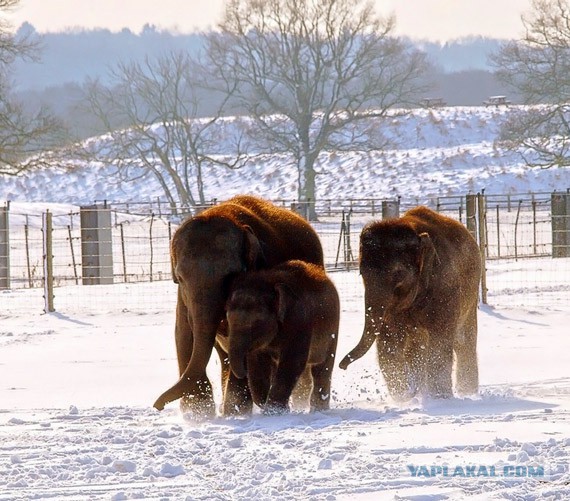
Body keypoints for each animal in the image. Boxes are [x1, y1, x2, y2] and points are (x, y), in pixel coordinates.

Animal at [153, 194, 324, 414]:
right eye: (180, 278)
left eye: (232, 275)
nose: (157, 406)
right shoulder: (182, 297)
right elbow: (182, 333)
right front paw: (197, 412)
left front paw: (230, 410)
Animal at [222, 258, 338, 414]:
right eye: (228, 319)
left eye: (257, 322)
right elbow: (258, 364)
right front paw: (275, 408)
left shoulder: (299, 320)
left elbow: (292, 362)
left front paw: (273, 411)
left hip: (332, 331)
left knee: (322, 369)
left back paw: (319, 410)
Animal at [338, 205, 480, 400]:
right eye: (361, 273)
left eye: (398, 275)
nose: (342, 366)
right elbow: (389, 343)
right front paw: (403, 398)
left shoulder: (445, 287)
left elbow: (439, 341)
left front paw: (439, 398)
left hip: (471, 295)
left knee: (463, 341)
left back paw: (467, 392)